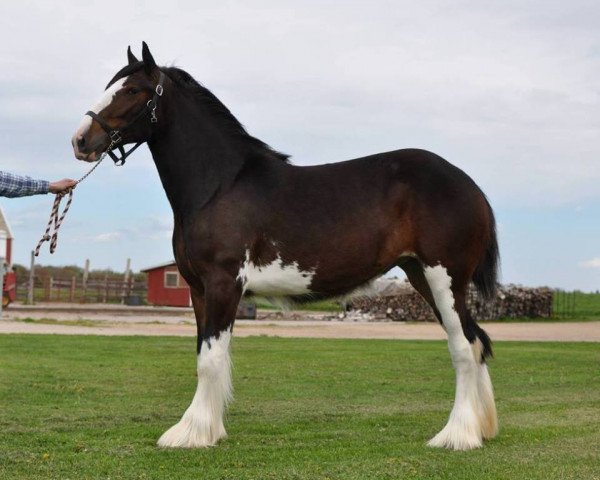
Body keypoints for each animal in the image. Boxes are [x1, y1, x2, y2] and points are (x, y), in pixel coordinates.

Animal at [72, 42, 500, 450]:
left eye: (132, 90)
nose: (80, 140)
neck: (220, 186)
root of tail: (470, 187)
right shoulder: (198, 289)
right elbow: (203, 355)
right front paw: (205, 430)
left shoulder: (223, 283)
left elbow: (211, 360)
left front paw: (192, 434)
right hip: (421, 275)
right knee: (477, 339)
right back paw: (481, 429)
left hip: (443, 277)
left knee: (464, 347)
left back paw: (457, 436)